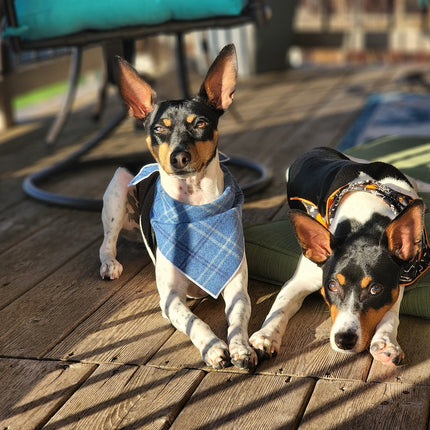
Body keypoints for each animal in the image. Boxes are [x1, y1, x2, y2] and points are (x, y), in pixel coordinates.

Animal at [99, 45, 256, 372]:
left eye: (200, 124)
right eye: (159, 128)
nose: (178, 156)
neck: (194, 205)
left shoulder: (238, 288)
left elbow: (237, 319)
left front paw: (240, 347)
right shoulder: (170, 299)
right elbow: (194, 321)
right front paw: (213, 348)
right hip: (117, 193)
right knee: (107, 242)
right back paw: (109, 264)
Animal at [250, 146, 428, 364]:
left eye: (375, 289)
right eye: (332, 286)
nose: (344, 340)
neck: (363, 222)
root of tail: (316, 150)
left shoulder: (401, 276)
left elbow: (391, 311)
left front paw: (386, 342)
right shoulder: (300, 280)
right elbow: (280, 306)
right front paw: (265, 337)